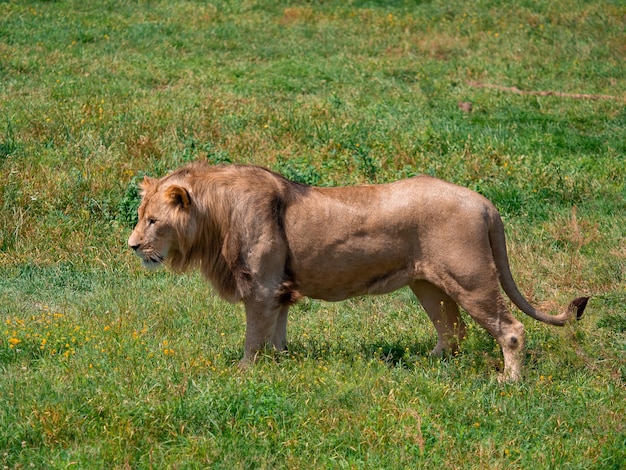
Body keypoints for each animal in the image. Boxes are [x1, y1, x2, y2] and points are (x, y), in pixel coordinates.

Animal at [127, 162, 584, 382]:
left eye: (152, 221)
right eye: (140, 216)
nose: (132, 246)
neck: (213, 217)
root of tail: (486, 203)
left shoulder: (261, 287)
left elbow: (253, 338)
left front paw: (244, 373)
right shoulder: (280, 290)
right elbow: (276, 334)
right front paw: (281, 364)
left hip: (472, 278)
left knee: (510, 328)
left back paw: (508, 382)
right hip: (428, 284)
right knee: (453, 331)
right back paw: (424, 364)